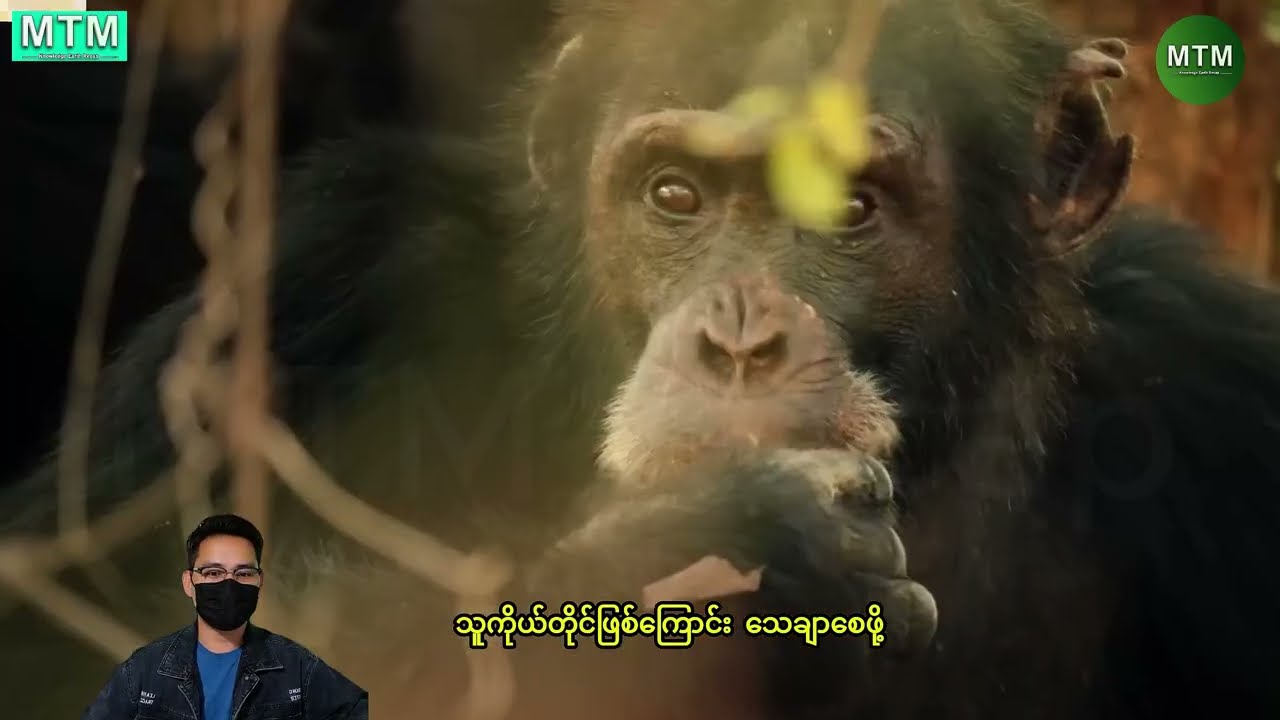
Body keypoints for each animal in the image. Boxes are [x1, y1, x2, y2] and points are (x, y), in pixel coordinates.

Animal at [3, 1, 1280, 719]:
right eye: (675, 195)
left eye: (848, 206)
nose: (740, 336)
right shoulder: (330, 283)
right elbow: (66, 639)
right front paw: (691, 545)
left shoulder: (1216, 383)